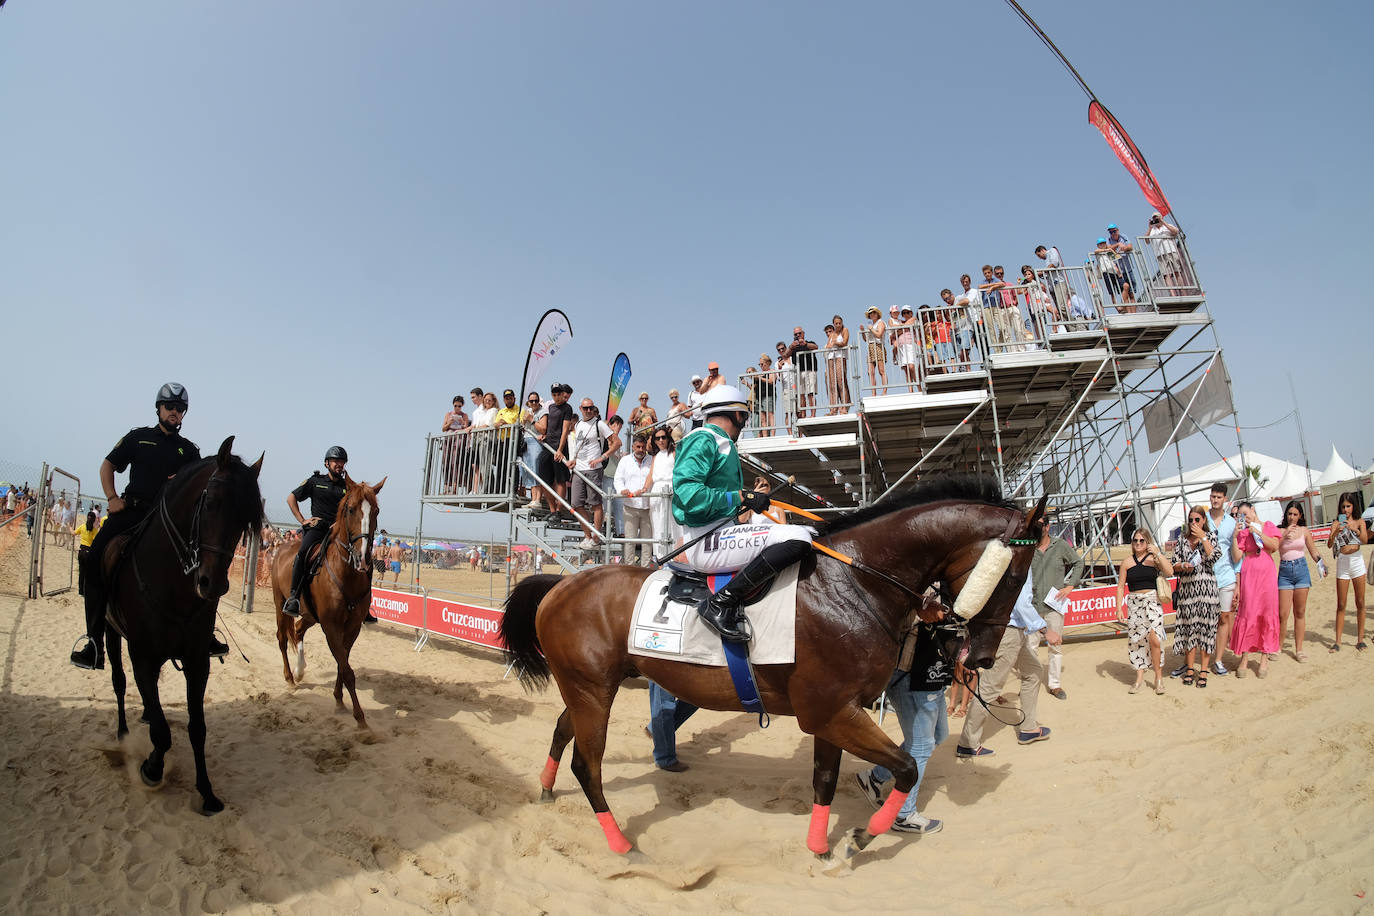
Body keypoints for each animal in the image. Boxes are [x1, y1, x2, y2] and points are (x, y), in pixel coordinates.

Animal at [105, 439, 263, 818]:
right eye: (212, 501)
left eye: (245, 520)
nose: (212, 584)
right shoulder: (142, 656)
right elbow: (163, 733)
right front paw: (151, 768)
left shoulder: (196, 662)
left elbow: (197, 728)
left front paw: (207, 792)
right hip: (110, 633)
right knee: (119, 682)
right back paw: (123, 733)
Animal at [270, 477, 384, 725]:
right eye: (351, 509)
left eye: (376, 511)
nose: (363, 558)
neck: (346, 574)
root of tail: (282, 547)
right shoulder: (331, 626)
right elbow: (347, 669)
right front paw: (360, 718)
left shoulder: (351, 628)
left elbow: (343, 664)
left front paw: (339, 700)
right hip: (279, 604)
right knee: (282, 638)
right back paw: (290, 677)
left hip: (310, 615)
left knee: (298, 630)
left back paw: (300, 670)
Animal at [500, 480, 1044, 867]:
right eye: (1015, 577)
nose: (982, 657)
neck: (853, 582)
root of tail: (561, 585)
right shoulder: (830, 712)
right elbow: (908, 767)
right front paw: (860, 838)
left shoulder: (836, 713)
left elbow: (826, 779)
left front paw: (820, 848)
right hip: (592, 690)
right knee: (587, 765)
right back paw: (622, 847)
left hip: (588, 689)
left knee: (562, 729)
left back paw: (546, 789)